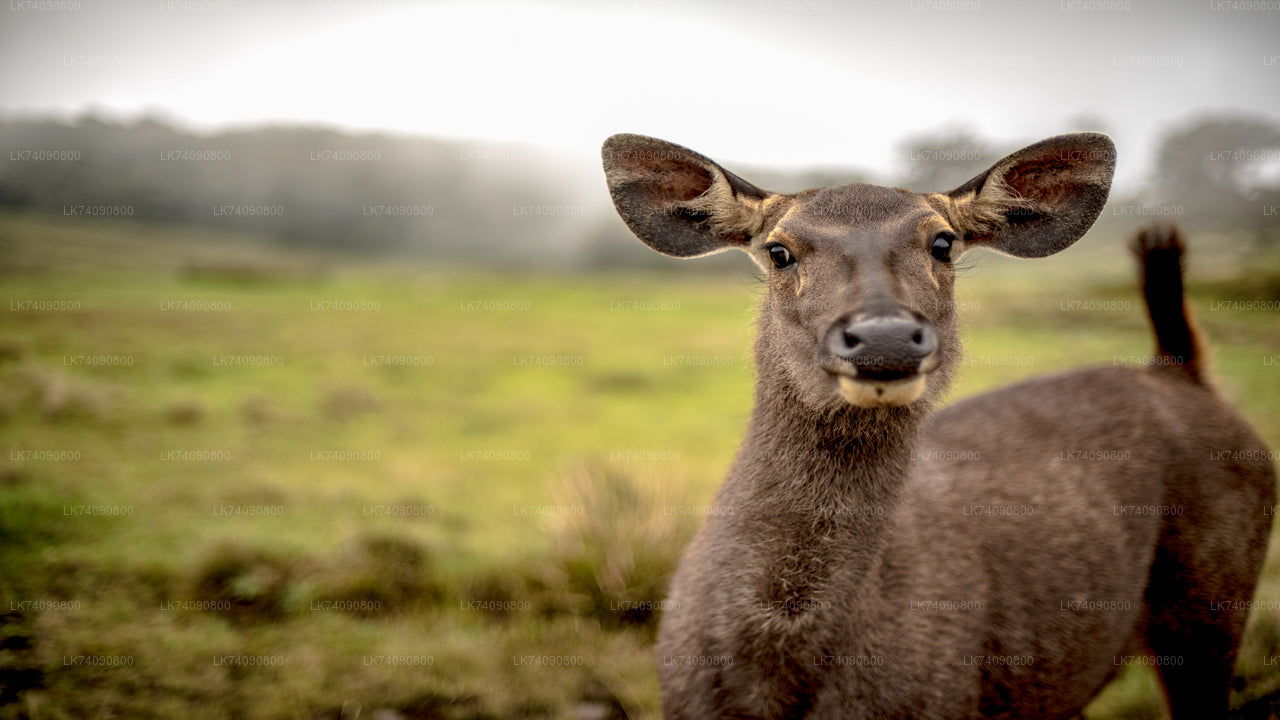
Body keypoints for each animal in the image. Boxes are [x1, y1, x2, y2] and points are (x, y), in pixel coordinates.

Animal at [601, 130, 1280, 717]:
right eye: (779, 250)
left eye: (943, 243)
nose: (884, 336)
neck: (773, 676)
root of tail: (1180, 371)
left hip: (1212, 601)